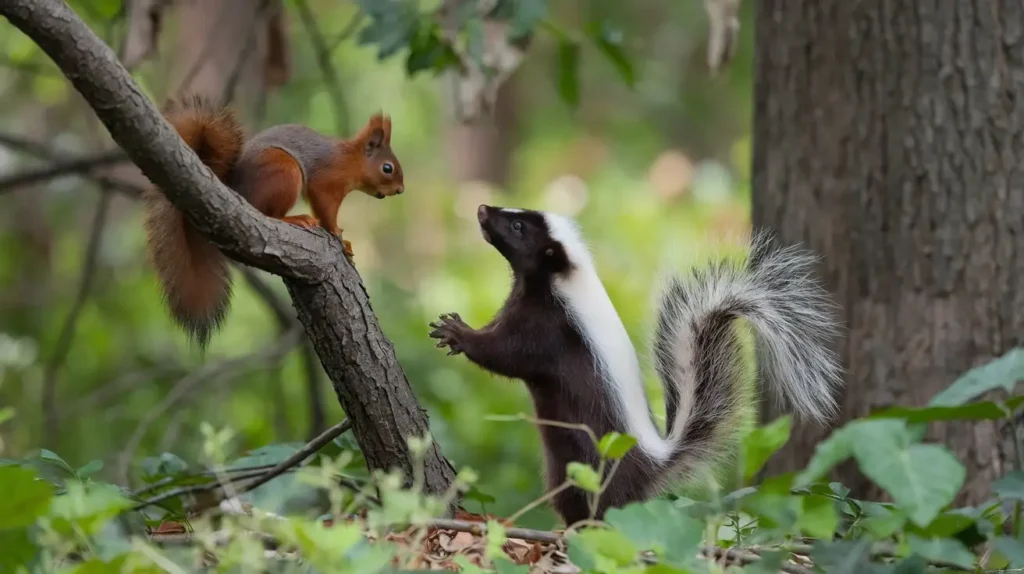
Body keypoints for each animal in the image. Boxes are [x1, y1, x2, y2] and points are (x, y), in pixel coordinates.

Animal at [143, 94, 403, 347]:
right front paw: (339, 237)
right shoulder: (327, 182)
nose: (400, 190)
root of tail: (234, 188)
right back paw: (296, 219)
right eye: (387, 168)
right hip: (284, 171)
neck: (351, 161)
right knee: (268, 213)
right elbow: (325, 210)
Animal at [428, 204, 843, 523]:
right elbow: (500, 335)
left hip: (600, 462)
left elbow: (507, 354)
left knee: (605, 507)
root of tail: (653, 458)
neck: (558, 279)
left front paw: (457, 333)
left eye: (518, 227)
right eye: (514, 216)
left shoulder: (550, 328)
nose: (483, 209)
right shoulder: (522, 303)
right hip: (567, 467)